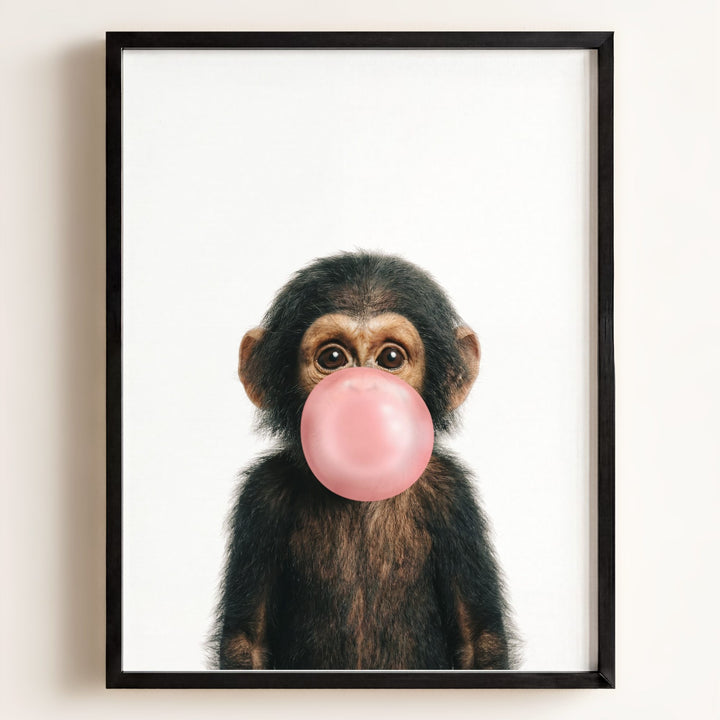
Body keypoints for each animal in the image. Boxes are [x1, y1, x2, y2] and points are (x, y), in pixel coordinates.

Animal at [212, 251, 518, 670]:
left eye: (390, 357)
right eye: (332, 357)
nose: (361, 390)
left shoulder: (452, 495)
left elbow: (479, 639)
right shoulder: (261, 495)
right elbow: (247, 640)